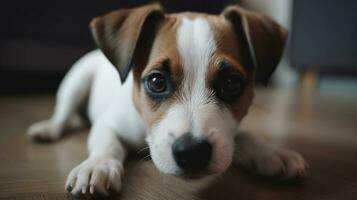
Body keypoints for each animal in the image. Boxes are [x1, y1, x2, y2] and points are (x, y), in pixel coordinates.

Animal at [27, 2, 306, 198]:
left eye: (231, 83)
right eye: (156, 81)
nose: (192, 152)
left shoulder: (230, 133)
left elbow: (244, 136)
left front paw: (270, 152)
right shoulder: (108, 124)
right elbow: (108, 143)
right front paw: (99, 166)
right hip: (76, 82)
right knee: (63, 113)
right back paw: (49, 128)